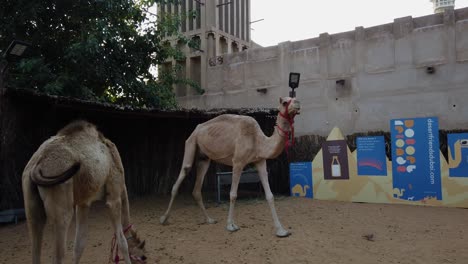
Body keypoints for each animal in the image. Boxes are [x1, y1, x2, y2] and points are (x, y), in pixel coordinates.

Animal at [21, 120, 146, 264]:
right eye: (143, 257)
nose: (145, 260)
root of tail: (38, 163)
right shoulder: (114, 196)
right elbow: (122, 242)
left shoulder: (83, 203)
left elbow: (79, 245)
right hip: (61, 201)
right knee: (59, 253)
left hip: (31, 205)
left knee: (36, 241)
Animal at [160, 97, 300, 237]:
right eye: (284, 102)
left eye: (294, 98)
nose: (298, 104)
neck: (258, 141)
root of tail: (196, 129)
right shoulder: (238, 162)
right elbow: (233, 194)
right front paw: (230, 226)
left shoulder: (260, 161)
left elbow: (270, 195)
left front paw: (281, 230)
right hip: (191, 142)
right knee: (183, 174)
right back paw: (164, 218)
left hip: (203, 158)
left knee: (196, 189)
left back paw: (209, 219)